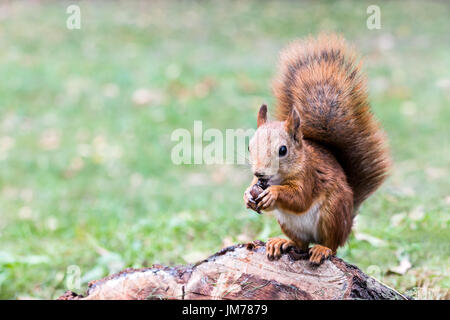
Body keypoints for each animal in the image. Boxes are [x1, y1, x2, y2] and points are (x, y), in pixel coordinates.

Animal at [243, 33, 390, 264]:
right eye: (249, 147)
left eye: (283, 150)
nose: (259, 173)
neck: (279, 176)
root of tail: (348, 222)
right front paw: (247, 195)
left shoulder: (309, 176)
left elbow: (300, 199)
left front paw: (273, 193)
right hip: (288, 223)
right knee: (301, 243)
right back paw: (283, 242)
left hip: (332, 213)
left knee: (332, 245)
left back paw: (322, 249)